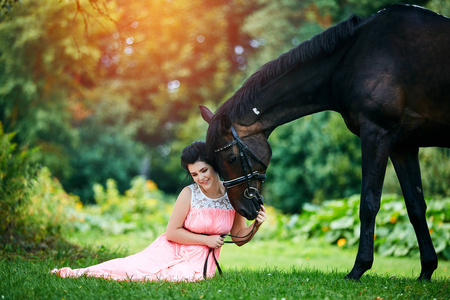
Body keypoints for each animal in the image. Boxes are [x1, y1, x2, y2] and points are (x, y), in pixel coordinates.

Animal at [200, 4, 450, 282]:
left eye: (231, 158)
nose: (243, 209)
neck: (354, 56)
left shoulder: (377, 134)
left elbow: (369, 203)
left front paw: (359, 268)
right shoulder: (403, 147)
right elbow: (416, 206)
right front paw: (427, 270)